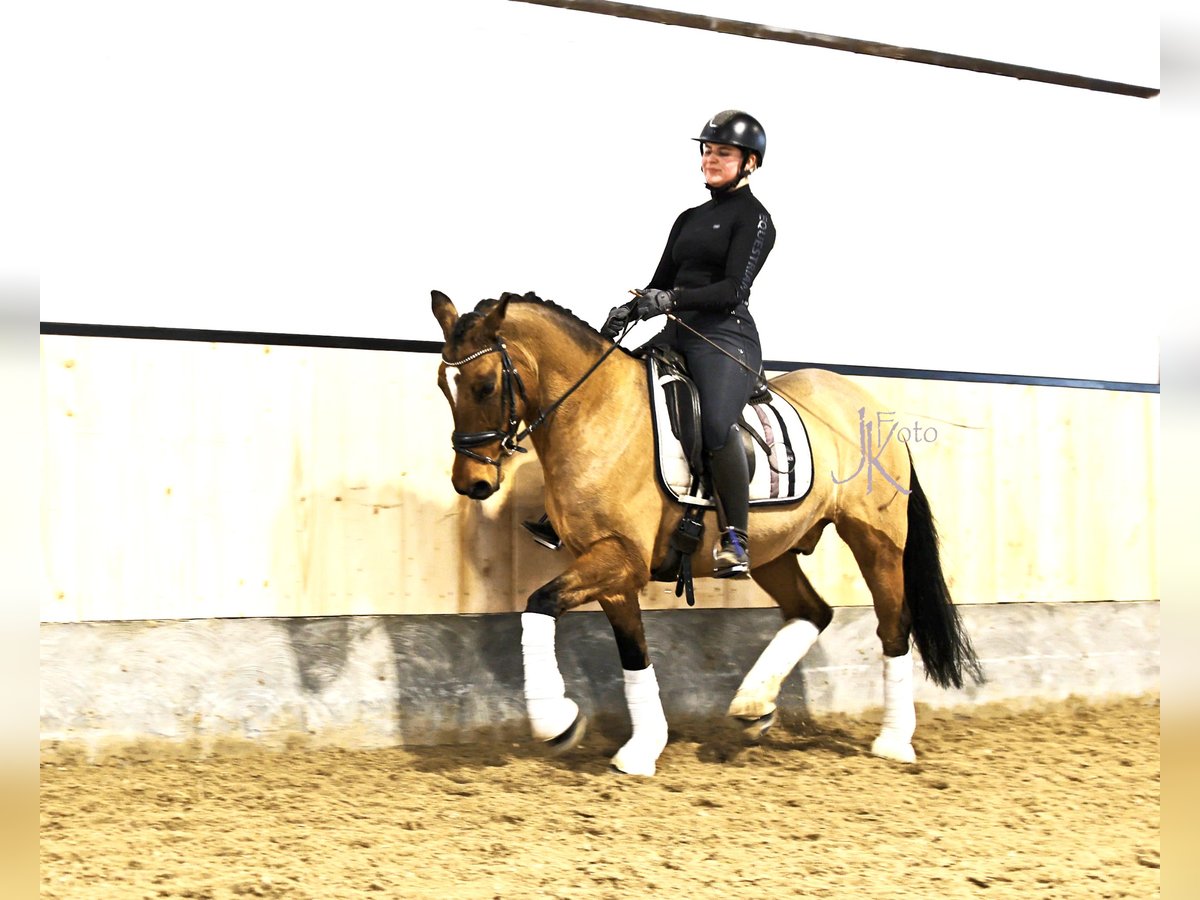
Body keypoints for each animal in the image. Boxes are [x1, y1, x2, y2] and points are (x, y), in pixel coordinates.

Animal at [432, 292, 984, 777]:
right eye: (444, 384)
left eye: (485, 384)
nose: (471, 483)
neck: (595, 412)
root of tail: (866, 403)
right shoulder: (609, 567)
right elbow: (632, 652)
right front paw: (643, 748)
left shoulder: (622, 559)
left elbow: (539, 604)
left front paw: (556, 721)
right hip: (772, 553)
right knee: (812, 612)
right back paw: (753, 704)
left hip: (876, 541)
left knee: (894, 627)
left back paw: (893, 742)